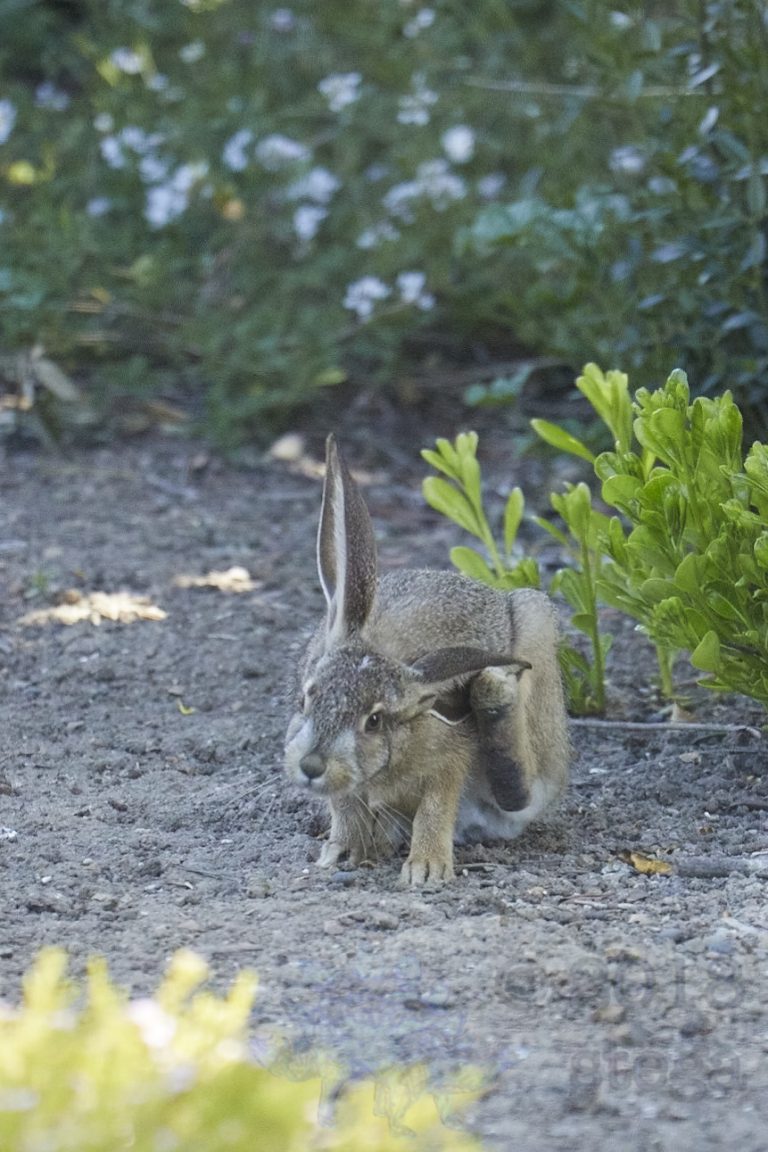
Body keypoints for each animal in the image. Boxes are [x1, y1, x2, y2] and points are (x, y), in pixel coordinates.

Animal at [284, 434, 569, 886]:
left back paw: (495, 699)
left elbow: (436, 806)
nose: (312, 765)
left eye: (374, 720)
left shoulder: (450, 757)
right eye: (306, 698)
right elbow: (344, 805)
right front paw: (343, 851)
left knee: (526, 791)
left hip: (537, 634)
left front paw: (426, 869)